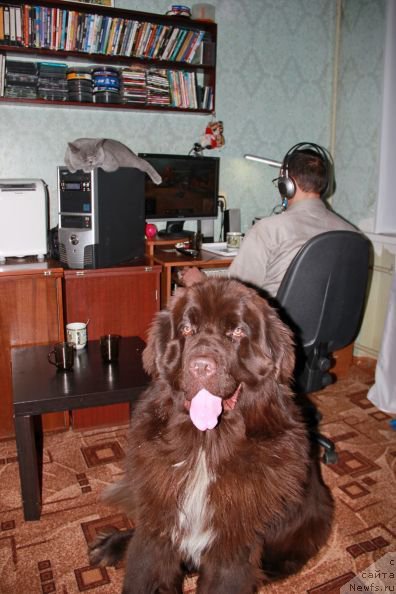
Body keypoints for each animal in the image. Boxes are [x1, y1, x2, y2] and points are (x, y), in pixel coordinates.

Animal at [90, 278, 334, 592]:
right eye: (186, 329)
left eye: (238, 332)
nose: (201, 366)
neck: (205, 446)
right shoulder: (159, 520)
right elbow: (145, 564)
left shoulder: (232, 547)